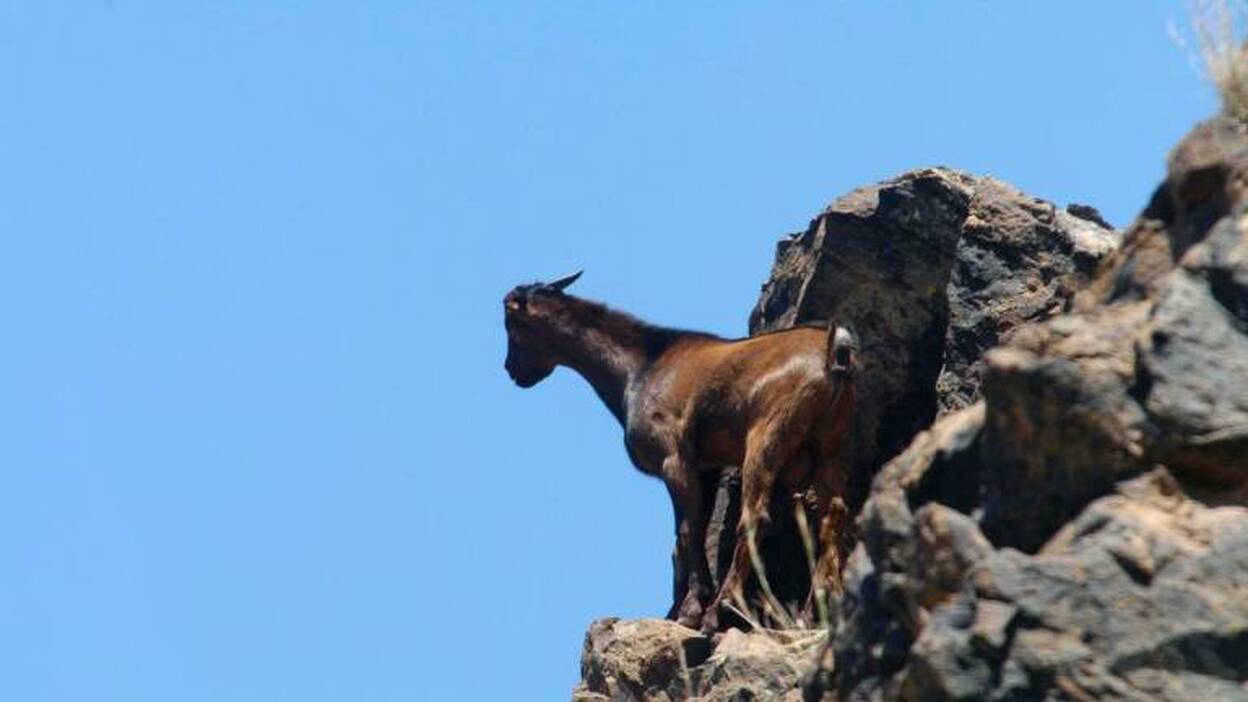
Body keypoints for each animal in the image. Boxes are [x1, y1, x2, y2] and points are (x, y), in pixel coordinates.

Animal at [503, 271, 856, 632]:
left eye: (510, 325)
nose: (512, 370)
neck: (640, 367)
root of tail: (832, 350)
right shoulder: (705, 467)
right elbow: (691, 530)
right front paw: (680, 607)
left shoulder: (674, 459)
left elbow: (687, 531)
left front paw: (691, 609)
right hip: (832, 444)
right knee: (834, 514)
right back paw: (816, 611)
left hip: (767, 435)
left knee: (755, 517)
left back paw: (719, 611)